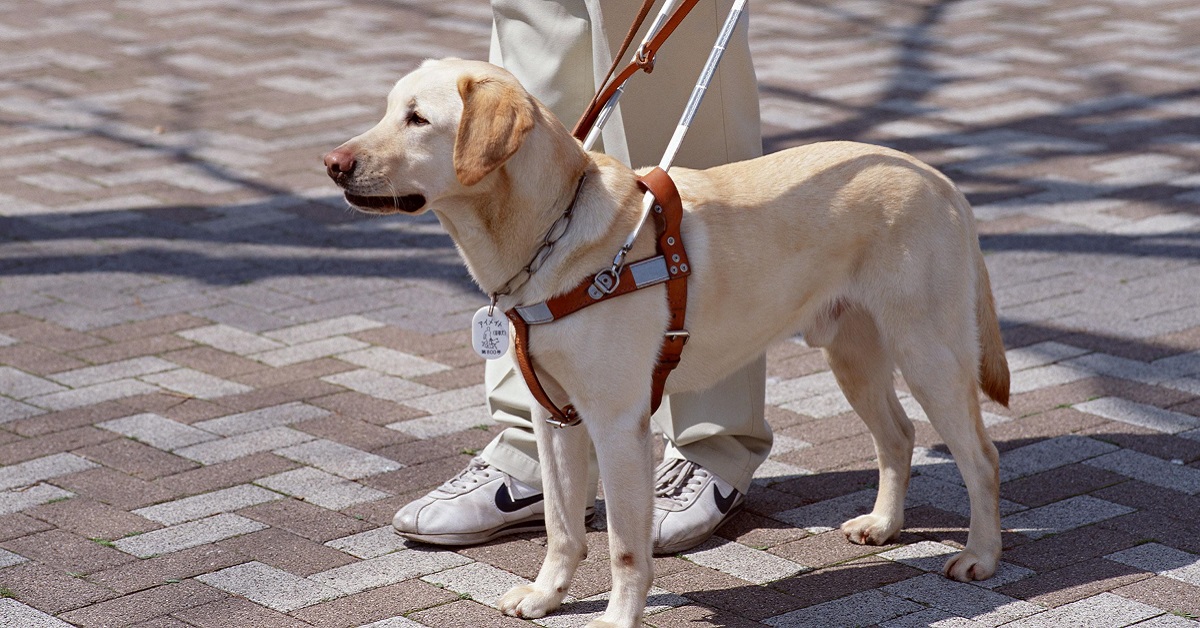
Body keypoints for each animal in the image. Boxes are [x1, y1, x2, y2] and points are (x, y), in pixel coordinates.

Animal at [324, 58, 1008, 628]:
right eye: (388, 109)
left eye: (418, 119)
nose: (332, 163)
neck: (550, 236)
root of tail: (939, 178)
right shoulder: (555, 418)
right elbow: (561, 525)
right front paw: (546, 596)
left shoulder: (617, 423)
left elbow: (625, 545)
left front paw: (618, 619)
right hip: (853, 356)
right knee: (899, 436)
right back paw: (886, 525)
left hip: (930, 355)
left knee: (980, 457)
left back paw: (981, 556)